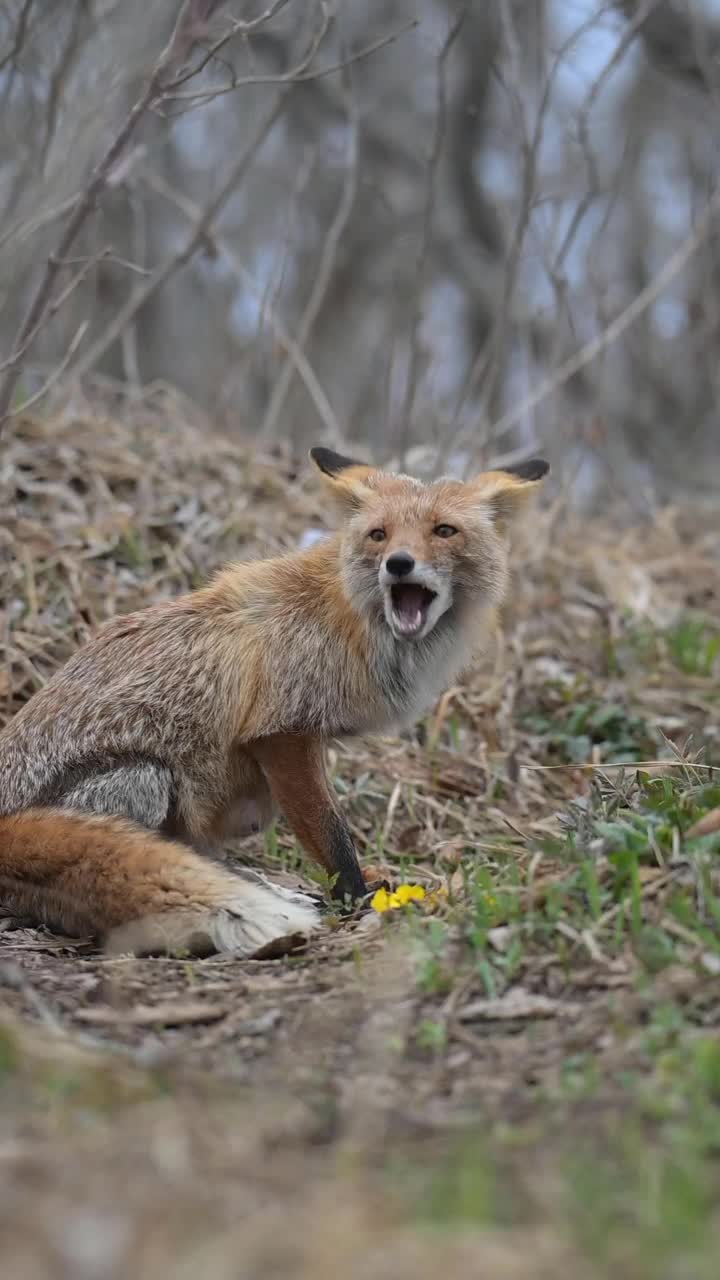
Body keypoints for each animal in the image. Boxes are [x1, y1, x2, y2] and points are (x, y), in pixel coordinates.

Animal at [0, 445, 543, 957]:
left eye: (443, 531)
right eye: (380, 535)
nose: (399, 564)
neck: (351, 617)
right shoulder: (284, 731)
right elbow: (331, 833)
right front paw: (357, 898)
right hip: (146, 777)